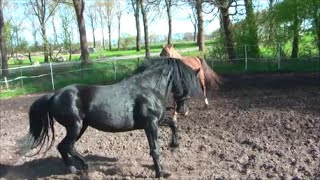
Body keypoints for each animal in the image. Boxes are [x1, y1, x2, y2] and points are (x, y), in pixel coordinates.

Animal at [16, 57, 202, 177]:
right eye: (185, 81)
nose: (183, 110)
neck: (149, 89)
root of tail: (53, 96)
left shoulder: (157, 121)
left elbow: (173, 124)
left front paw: (174, 144)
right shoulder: (151, 125)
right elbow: (154, 150)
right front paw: (160, 172)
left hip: (81, 127)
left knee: (64, 147)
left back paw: (75, 168)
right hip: (75, 126)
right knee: (66, 146)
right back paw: (81, 167)